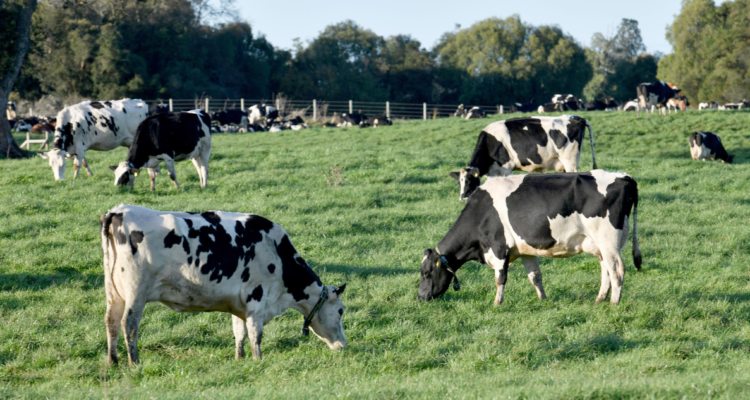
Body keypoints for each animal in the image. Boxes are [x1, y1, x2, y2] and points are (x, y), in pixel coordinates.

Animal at [100, 205, 347, 365]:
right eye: (341, 311)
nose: (343, 344)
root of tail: (118, 210)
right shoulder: (257, 297)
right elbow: (255, 333)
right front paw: (258, 360)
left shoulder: (240, 303)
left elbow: (239, 332)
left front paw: (240, 359)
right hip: (136, 291)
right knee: (129, 325)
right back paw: (134, 362)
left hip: (113, 292)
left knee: (111, 321)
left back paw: (113, 361)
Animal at [419, 171, 641, 306]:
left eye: (426, 272)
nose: (420, 297)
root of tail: (624, 177)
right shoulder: (525, 249)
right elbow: (535, 276)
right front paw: (543, 299)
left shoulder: (499, 247)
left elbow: (500, 279)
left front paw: (496, 304)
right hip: (603, 243)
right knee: (606, 269)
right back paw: (599, 299)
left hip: (608, 239)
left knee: (617, 270)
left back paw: (614, 303)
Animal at [449, 115, 597, 201]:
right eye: (459, 182)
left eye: (468, 181)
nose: (462, 197)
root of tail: (575, 118)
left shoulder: (505, 169)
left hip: (570, 161)